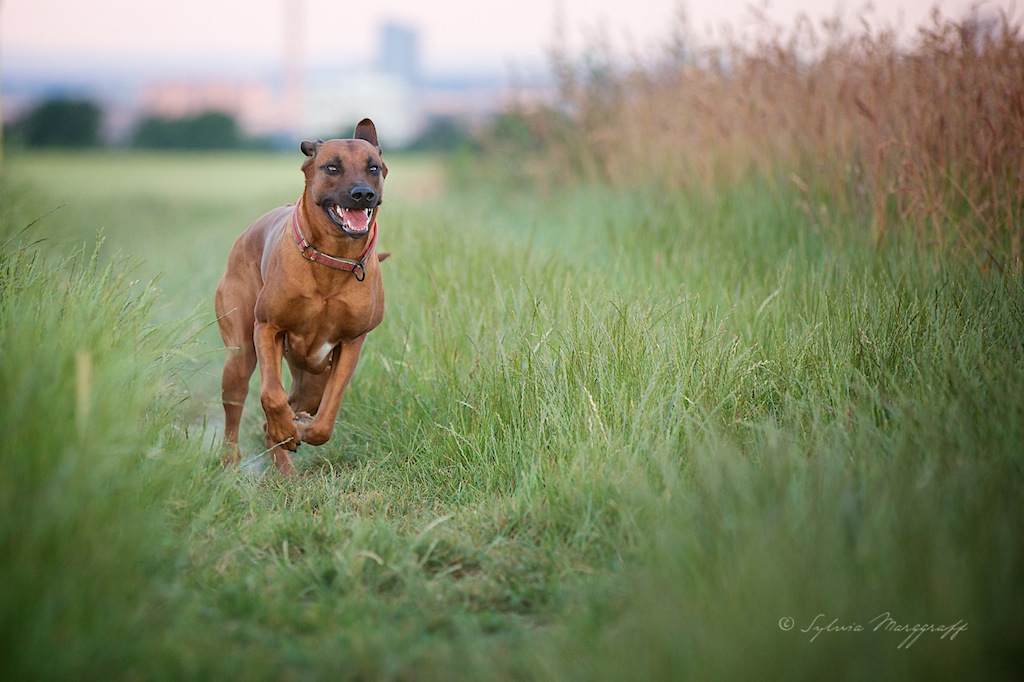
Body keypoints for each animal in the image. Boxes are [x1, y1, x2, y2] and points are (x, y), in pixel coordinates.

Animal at [216, 118, 387, 473]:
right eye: (332, 167)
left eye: (373, 167)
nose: (363, 194)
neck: (333, 259)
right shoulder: (267, 327)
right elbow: (271, 394)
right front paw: (286, 426)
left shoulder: (352, 344)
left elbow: (329, 412)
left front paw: (305, 430)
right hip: (240, 355)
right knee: (238, 408)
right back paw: (235, 460)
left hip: (312, 379)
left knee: (291, 409)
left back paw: (287, 465)